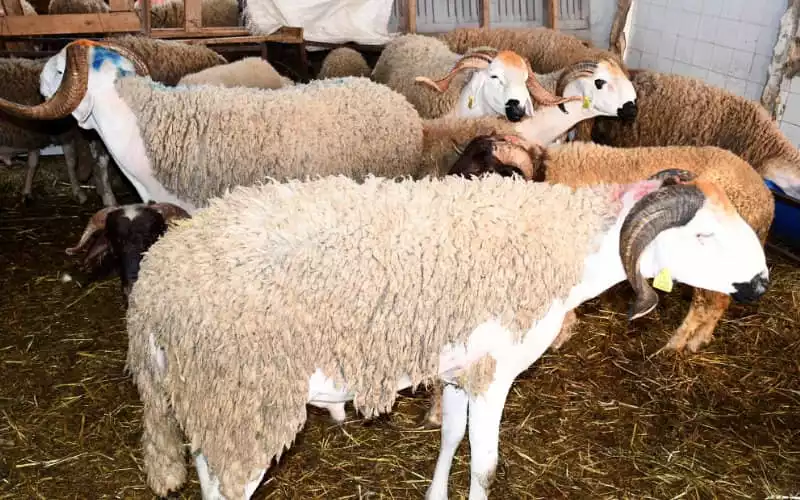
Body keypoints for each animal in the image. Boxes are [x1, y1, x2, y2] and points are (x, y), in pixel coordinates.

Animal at [124, 171, 769, 500]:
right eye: (704, 235)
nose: (761, 283)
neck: (564, 246)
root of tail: (152, 290)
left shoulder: (460, 370)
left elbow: (452, 440)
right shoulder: (493, 373)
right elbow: (485, 465)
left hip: (211, 402)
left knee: (205, 470)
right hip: (246, 404)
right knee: (230, 483)